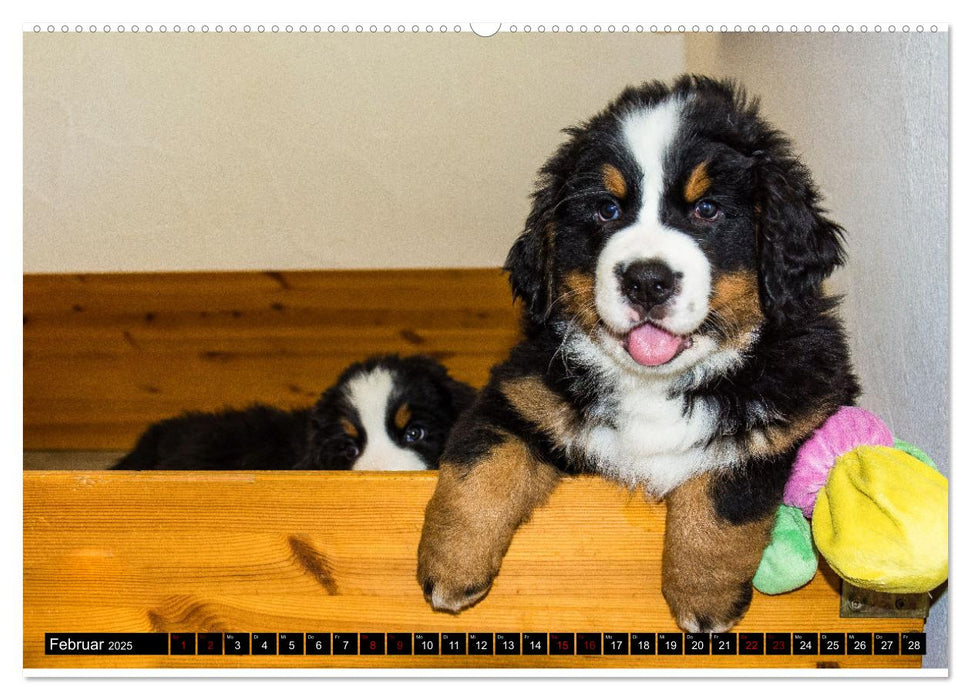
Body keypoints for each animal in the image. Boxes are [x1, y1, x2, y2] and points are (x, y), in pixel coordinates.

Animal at [418, 78, 860, 636]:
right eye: (607, 210)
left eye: (707, 210)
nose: (647, 281)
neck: (653, 385)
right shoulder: (522, 395)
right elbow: (481, 469)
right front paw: (451, 569)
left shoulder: (776, 428)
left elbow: (720, 504)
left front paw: (703, 601)